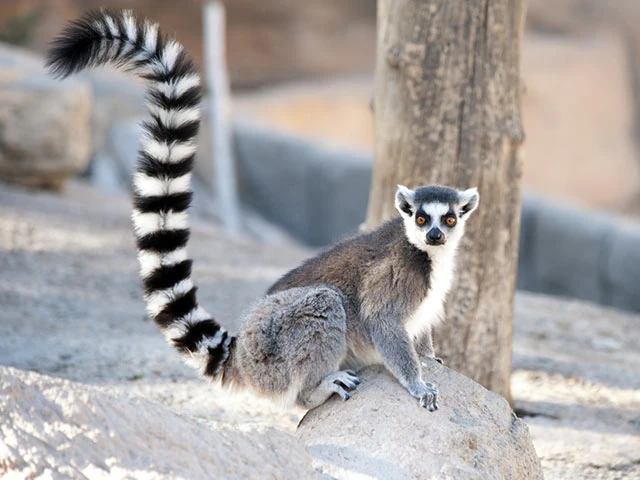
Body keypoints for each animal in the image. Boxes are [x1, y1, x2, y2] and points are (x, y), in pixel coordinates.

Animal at [46, 10, 479, 412]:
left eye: (449, 219)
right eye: (421, 218)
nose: (434, 235)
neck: (429, 256)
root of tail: (242, 357)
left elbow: (420, 333)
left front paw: (430, 357)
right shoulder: (395, 280)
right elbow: (383, 323)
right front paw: (417, 384)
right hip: (275, 347)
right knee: (323, 307)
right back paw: (317, 388)